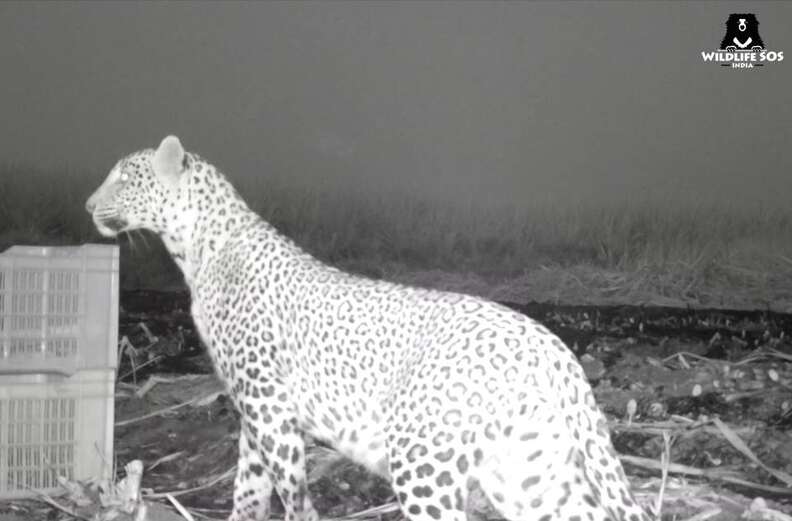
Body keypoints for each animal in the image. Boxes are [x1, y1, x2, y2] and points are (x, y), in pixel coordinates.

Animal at [85, 136, 648, 520]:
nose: (89, 205)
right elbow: (250, 488)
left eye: (124, 178)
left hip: (426, 463)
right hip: (526, 469)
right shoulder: (254, 410)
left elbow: (292, 491)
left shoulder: (268, 405)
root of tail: (551, 345)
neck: (195, 251)